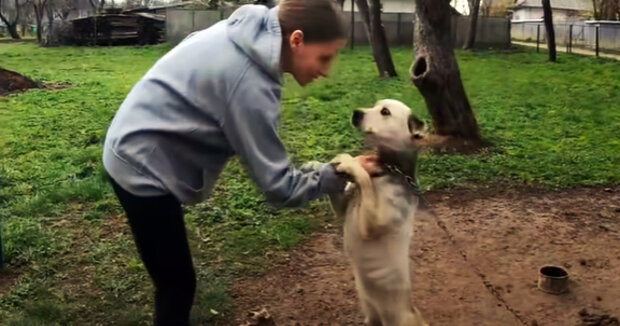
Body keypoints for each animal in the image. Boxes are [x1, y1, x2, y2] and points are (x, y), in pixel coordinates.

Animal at [330, 99, 426, 326]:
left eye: (385, 112)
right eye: (376, 105)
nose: (356, 112)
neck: (388, 168)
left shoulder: (371, 224)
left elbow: (363, 178)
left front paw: (351, 163)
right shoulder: (342, 208)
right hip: (370, 313)